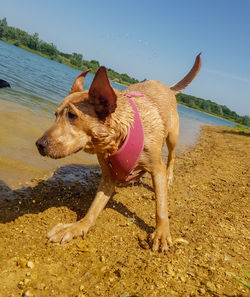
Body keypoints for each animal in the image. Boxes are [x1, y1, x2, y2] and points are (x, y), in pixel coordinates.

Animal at [35, 52, 201, 250]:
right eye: (55, 115)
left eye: (72, 115)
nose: (39, 144)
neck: (119, 136)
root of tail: (167, 87)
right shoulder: (108, 176)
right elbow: (94, 208)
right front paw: (77, 226)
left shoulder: (157, 168)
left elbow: (161, 206)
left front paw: (161, 232)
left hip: (173, 136)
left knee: (172, 156)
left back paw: (168, 177)